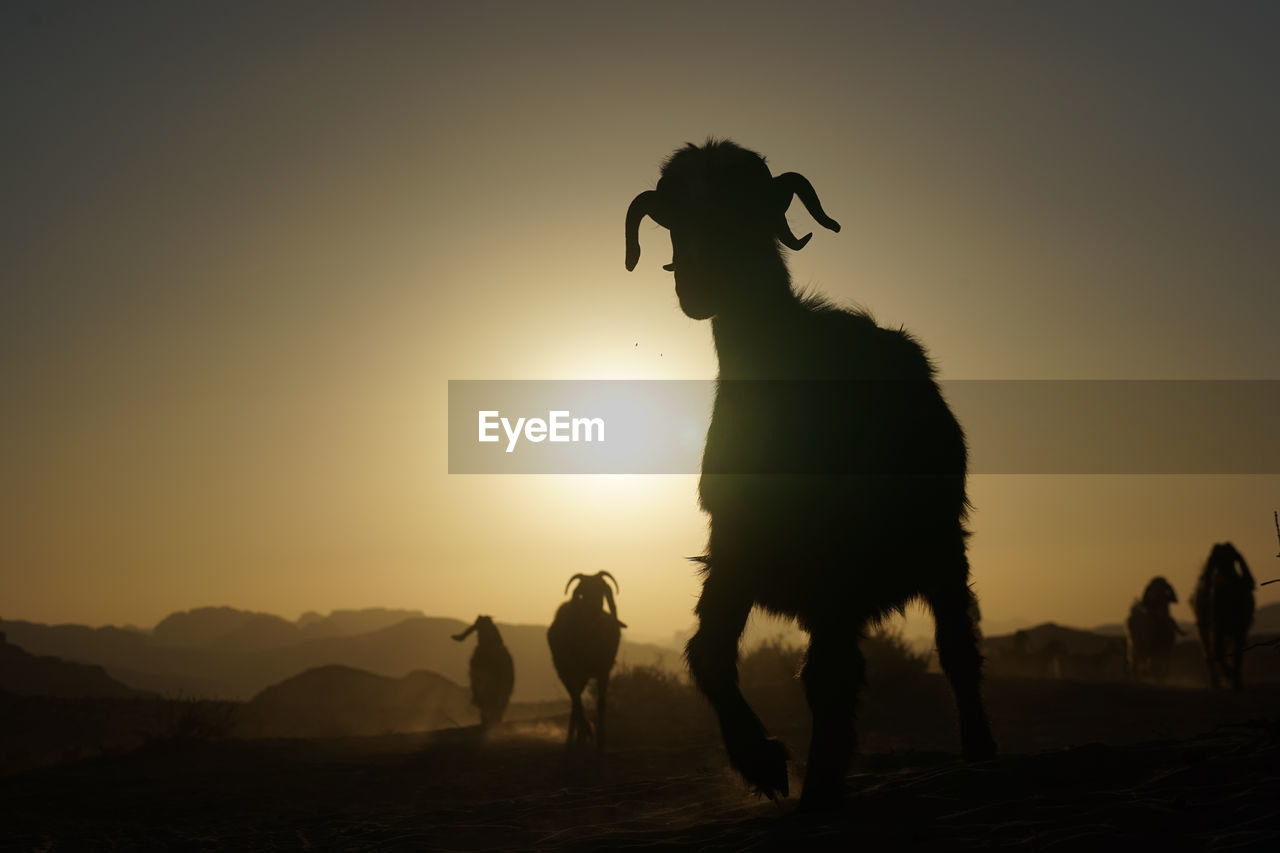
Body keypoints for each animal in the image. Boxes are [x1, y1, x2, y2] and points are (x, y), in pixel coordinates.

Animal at [547, 571, 627, 742]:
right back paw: (576, 736)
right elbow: (577, 701)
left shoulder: (604, 672)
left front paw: (600, 738)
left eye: (601, 590)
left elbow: (601, 703)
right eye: (584, 591)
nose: (594, 607)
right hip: (566, 673)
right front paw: (587, 731)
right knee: (575, 702)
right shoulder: (571, 673)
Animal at [624, 137, 993, 804]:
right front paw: (763, 762)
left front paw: (819, 779)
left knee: (956, 650)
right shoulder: (735, 550)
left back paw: (980, 748)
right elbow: (707, 652)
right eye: (676, 222)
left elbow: (827, 674)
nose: (699, 283)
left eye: (748, 210)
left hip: (941, 549)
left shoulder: (840, 563)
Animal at [1187, 540, 1259, 686]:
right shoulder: (1217, 627)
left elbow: (1237, 654)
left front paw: (1236, 679)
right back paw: (1217, 681)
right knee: (1210, 655)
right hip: (1205, 629)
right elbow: (1218, 652)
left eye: (1233, 557)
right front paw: (1229, 675)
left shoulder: (1241, 629)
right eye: (1216, 558)